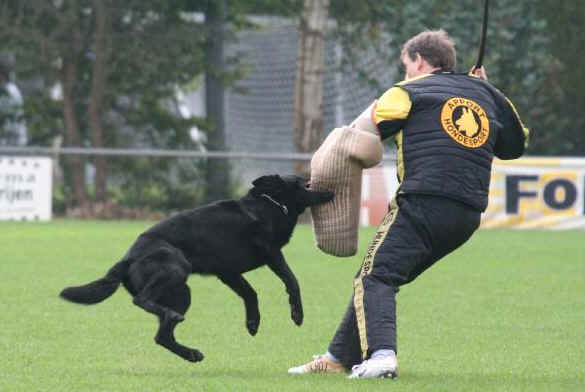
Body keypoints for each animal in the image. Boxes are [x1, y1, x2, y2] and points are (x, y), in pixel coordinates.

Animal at [60, 175, 334, 362]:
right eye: (305, 184)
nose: (330, 191)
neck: (270, 205)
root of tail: (127, 258)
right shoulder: (272, 254)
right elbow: (292, 280)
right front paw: (297, 314)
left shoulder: (228, 273)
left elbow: (250, 294)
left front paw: (253, 322)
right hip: (176, 269)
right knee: (142, 301)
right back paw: (174, 322)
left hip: (182, 293)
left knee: (161, 336)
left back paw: (190, 353)